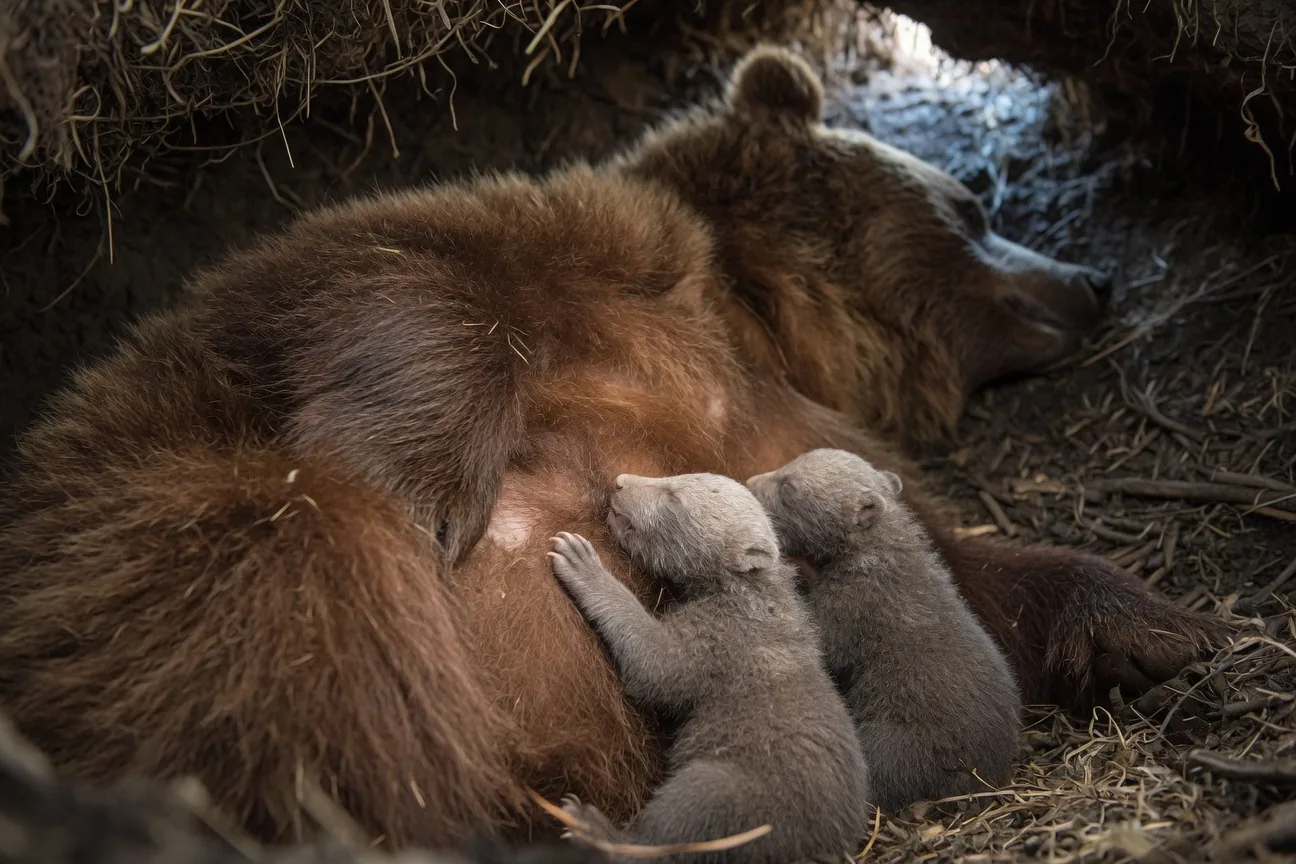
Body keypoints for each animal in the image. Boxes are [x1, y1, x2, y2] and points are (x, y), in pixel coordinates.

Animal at [548, 472, 871, 863]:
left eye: (674, 498)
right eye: (675, 477)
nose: (621, 481)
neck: (755, 590)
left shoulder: (725, 637)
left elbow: (658, 665)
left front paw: (583, 565)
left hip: (744, 797)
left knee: (687, 812)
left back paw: (592, 828)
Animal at [747, 448, 1021, 812]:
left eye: (788, 487)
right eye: (787, 466)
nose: (750, 481)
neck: (876, 547)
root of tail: (986, 774)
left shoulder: (856, 604)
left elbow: (825, 644)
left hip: (905, 731)